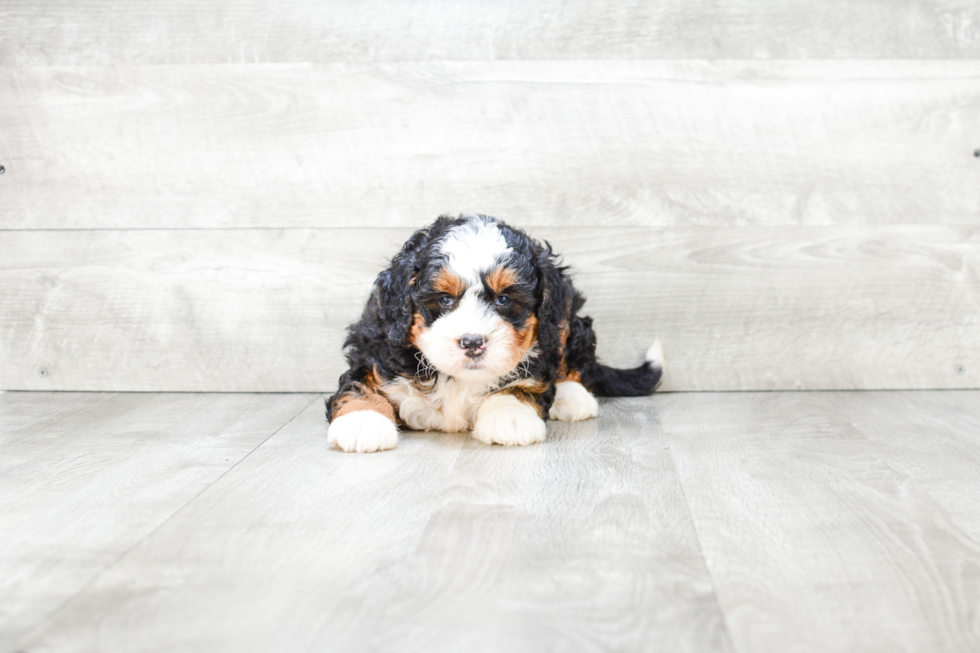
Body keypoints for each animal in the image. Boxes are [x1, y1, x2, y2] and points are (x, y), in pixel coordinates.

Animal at [326, 215, 664, 454]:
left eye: (503, 299)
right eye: (445, 299)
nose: (473, 342)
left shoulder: (536, 357)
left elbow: (522, 384)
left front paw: (510, 417)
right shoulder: (375, 351)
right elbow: (359, 385)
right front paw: (362, 422)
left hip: (566, 319)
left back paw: (572, 396)